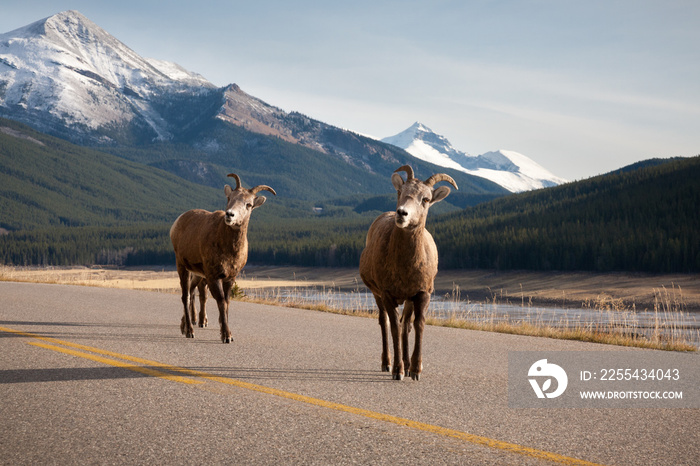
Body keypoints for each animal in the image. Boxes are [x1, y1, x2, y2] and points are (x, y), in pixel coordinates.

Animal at [170, 174, 276, 342]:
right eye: (230, 198)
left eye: (248, 204)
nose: (230, 214)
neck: (229, 250)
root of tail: (176, 224)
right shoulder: (213, 276)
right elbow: (220, 301)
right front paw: (226, 336)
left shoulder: (230, 277)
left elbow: (227, 302)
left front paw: (225, 333)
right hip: (182, 266)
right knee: (185, 296)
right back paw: (189, 331)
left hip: (197, 273)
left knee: (191, 293)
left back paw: (184, 326)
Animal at [358, 164, 456, 378]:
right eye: (400, 192)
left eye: (426, 199)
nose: (402, 213)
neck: (405, 267)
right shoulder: (387, 293)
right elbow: (394, 326)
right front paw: (397, 371)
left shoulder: (422, 293)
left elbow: (417, 325)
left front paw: (416, 369)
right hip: (377, 295)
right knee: (385, 322)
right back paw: (387, 363)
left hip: (409, 300)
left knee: (406, 325)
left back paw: (407, 362)